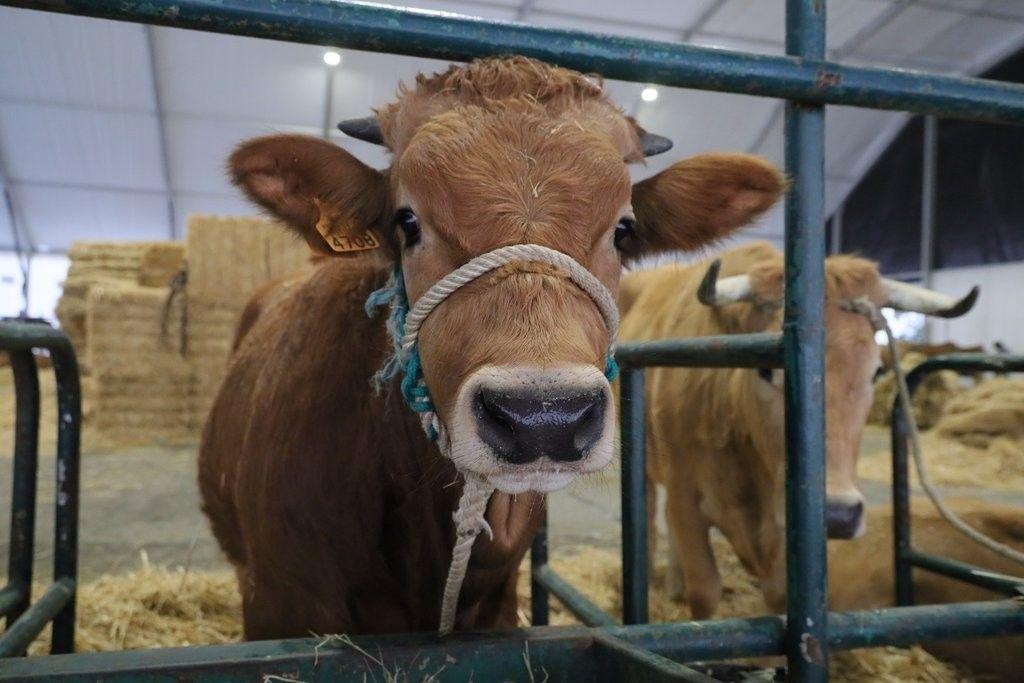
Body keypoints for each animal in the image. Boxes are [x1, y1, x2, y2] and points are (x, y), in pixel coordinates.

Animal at [619, 241, 978, 618]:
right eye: (765, 370)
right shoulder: (685, 496)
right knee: (649, 518)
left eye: (877, 371)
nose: (836, 515)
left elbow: (779, 596)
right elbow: (704, 590)